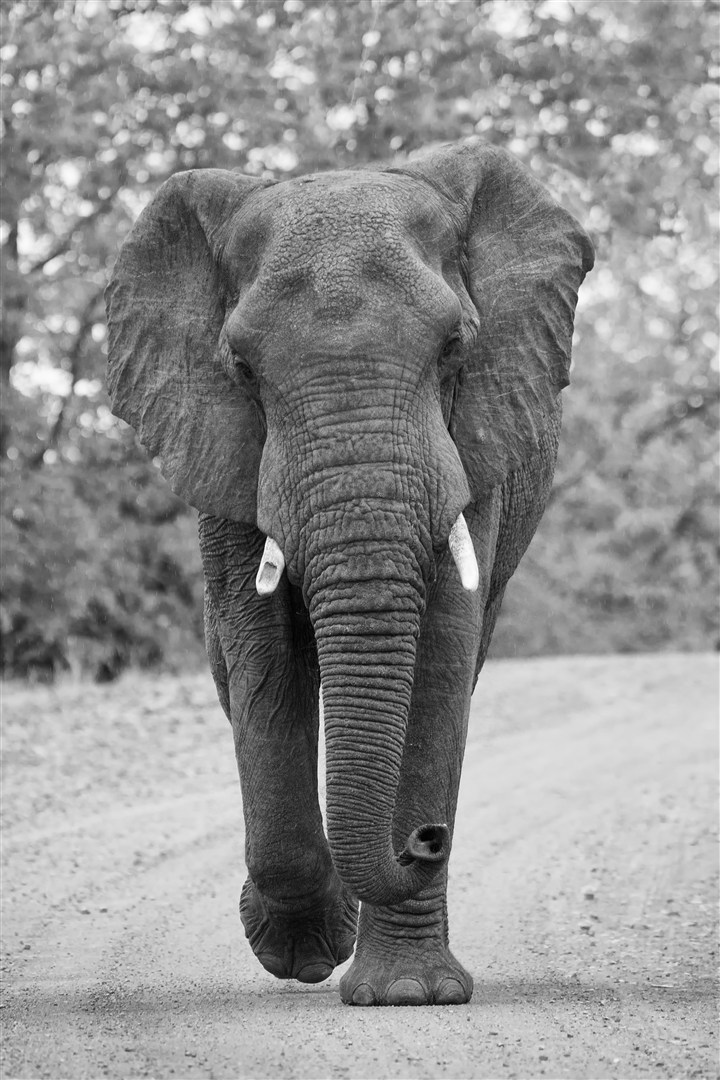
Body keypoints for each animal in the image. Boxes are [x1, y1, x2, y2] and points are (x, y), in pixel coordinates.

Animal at [105, 139, 591, 1006]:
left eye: (455, 349)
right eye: (240, 366)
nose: (427, 839)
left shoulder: (476, 444)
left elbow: (439, 653)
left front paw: (409, 996)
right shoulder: (226, 450)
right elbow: (263, 656)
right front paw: (307, 949)